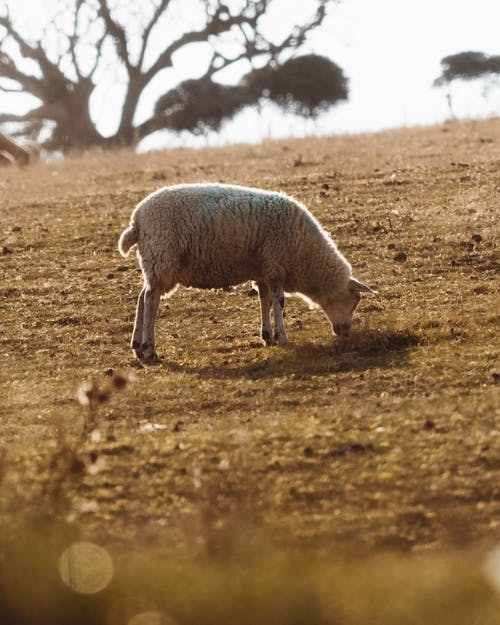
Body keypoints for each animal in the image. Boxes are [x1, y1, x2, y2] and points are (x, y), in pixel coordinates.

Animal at [118, 182, 376, 360]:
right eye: (355, 301)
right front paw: (283, 337)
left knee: (143, 297)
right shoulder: (276, 265)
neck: (306, 255)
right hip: (163, 258)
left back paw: (137, 346)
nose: (345, 333)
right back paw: (149, 349)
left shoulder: (264, 271)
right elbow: (279, 302)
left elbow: (265, 301)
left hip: (155, 263)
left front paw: (268, 336)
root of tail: (137, 219)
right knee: (151, 301)